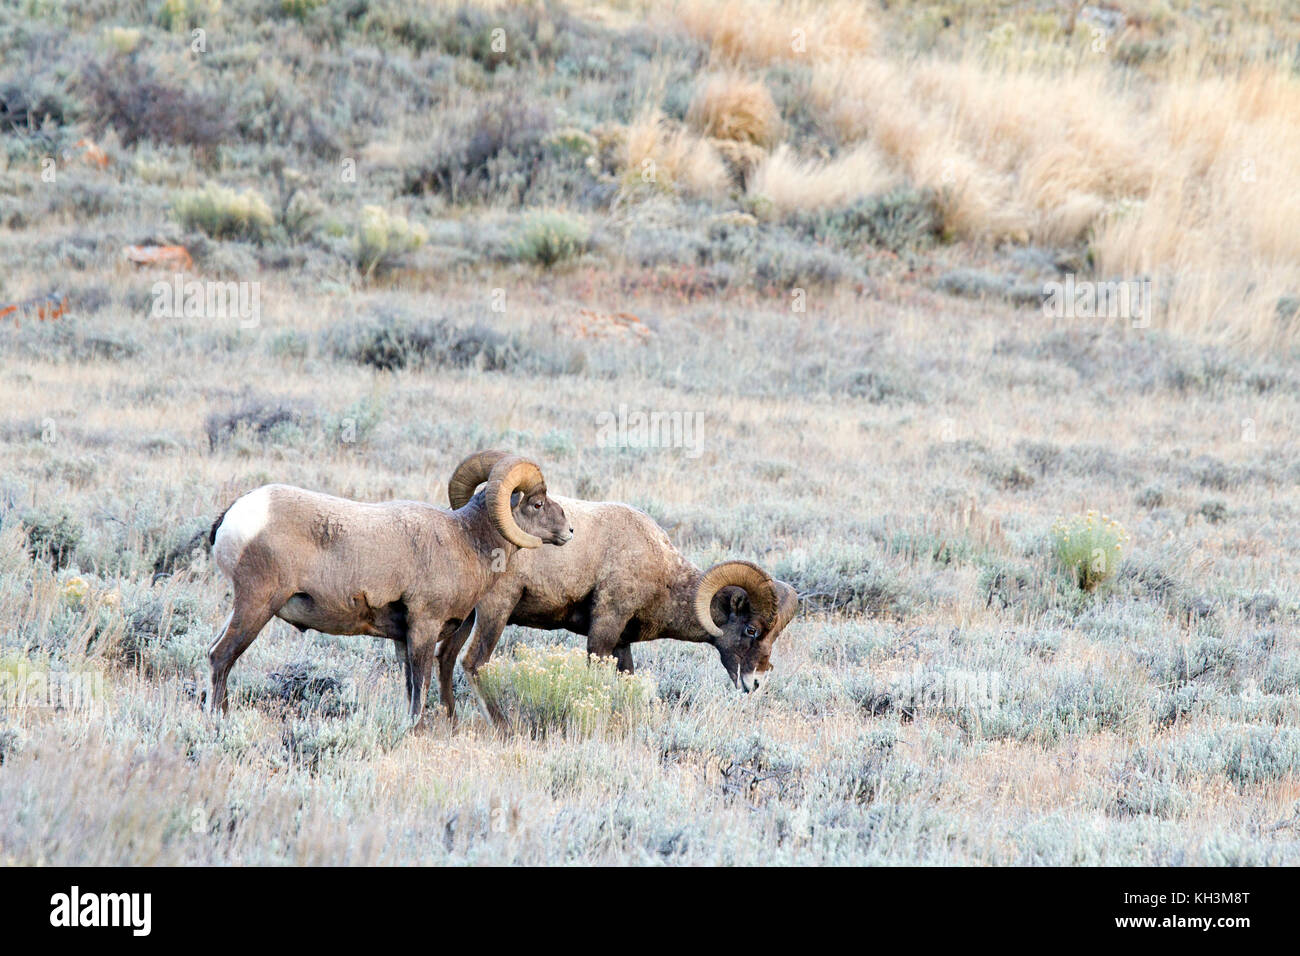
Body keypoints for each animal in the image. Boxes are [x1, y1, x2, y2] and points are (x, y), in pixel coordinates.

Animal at [207, 452, 572, 724]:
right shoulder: (424, 627)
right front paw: (415, 730)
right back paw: (220, 720)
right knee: (222, 655)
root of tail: (233, 515)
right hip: (257, 605)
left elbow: (411, 687)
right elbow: (420, 688)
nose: (569, 531)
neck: (465, 540)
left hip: (243, 607)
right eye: (537, 504)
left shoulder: (402, 638)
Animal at [434, 450, 799, 724]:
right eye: (751, 630)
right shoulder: (604, 629)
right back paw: (503, 726)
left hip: (465, 618)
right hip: (495, 612)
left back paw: (450, 720)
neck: (661, 571)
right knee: (474, 662)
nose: (755, 682)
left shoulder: (622, 643)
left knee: (446, 658)